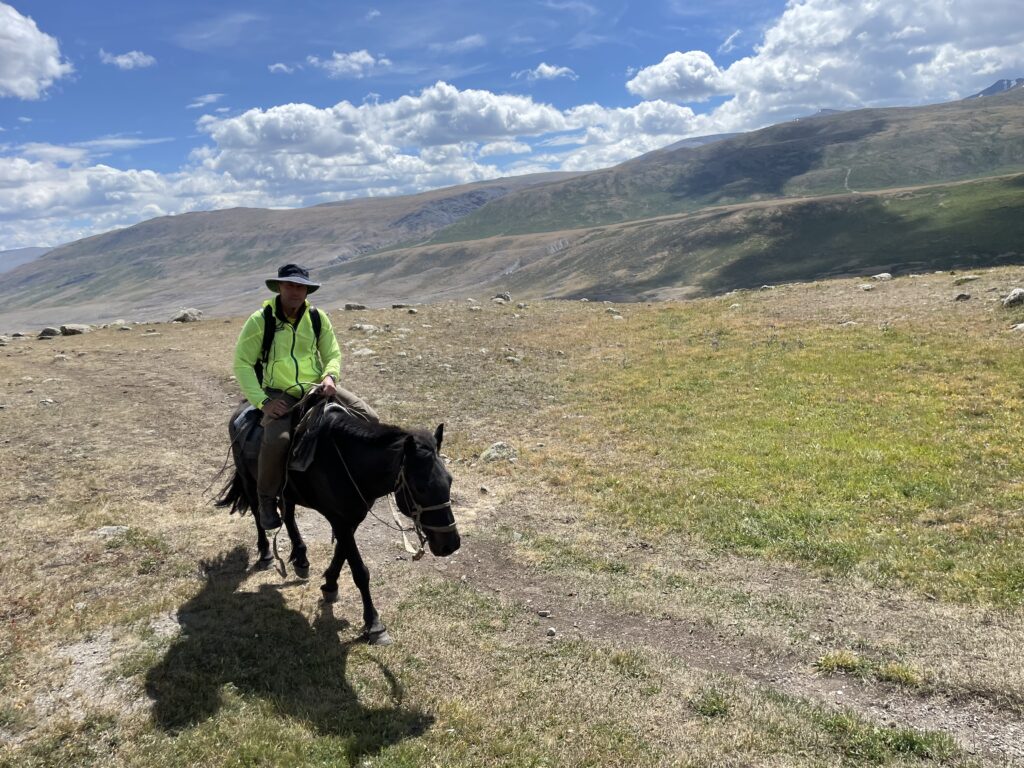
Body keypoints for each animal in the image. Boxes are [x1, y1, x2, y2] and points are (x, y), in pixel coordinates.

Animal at [216, 399, 460, 647]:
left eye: (449, 481)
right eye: (420, 488)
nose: (450, 544)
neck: (347, 462)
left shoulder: (353, 517)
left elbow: (342, 553)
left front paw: (330, 584)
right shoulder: (340, 520)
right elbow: (359, 571)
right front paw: (374, 624)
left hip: (288, 491)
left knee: (289, 515)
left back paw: (301, 559)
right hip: (249, 480)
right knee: (259, 514)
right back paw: (266, 554)